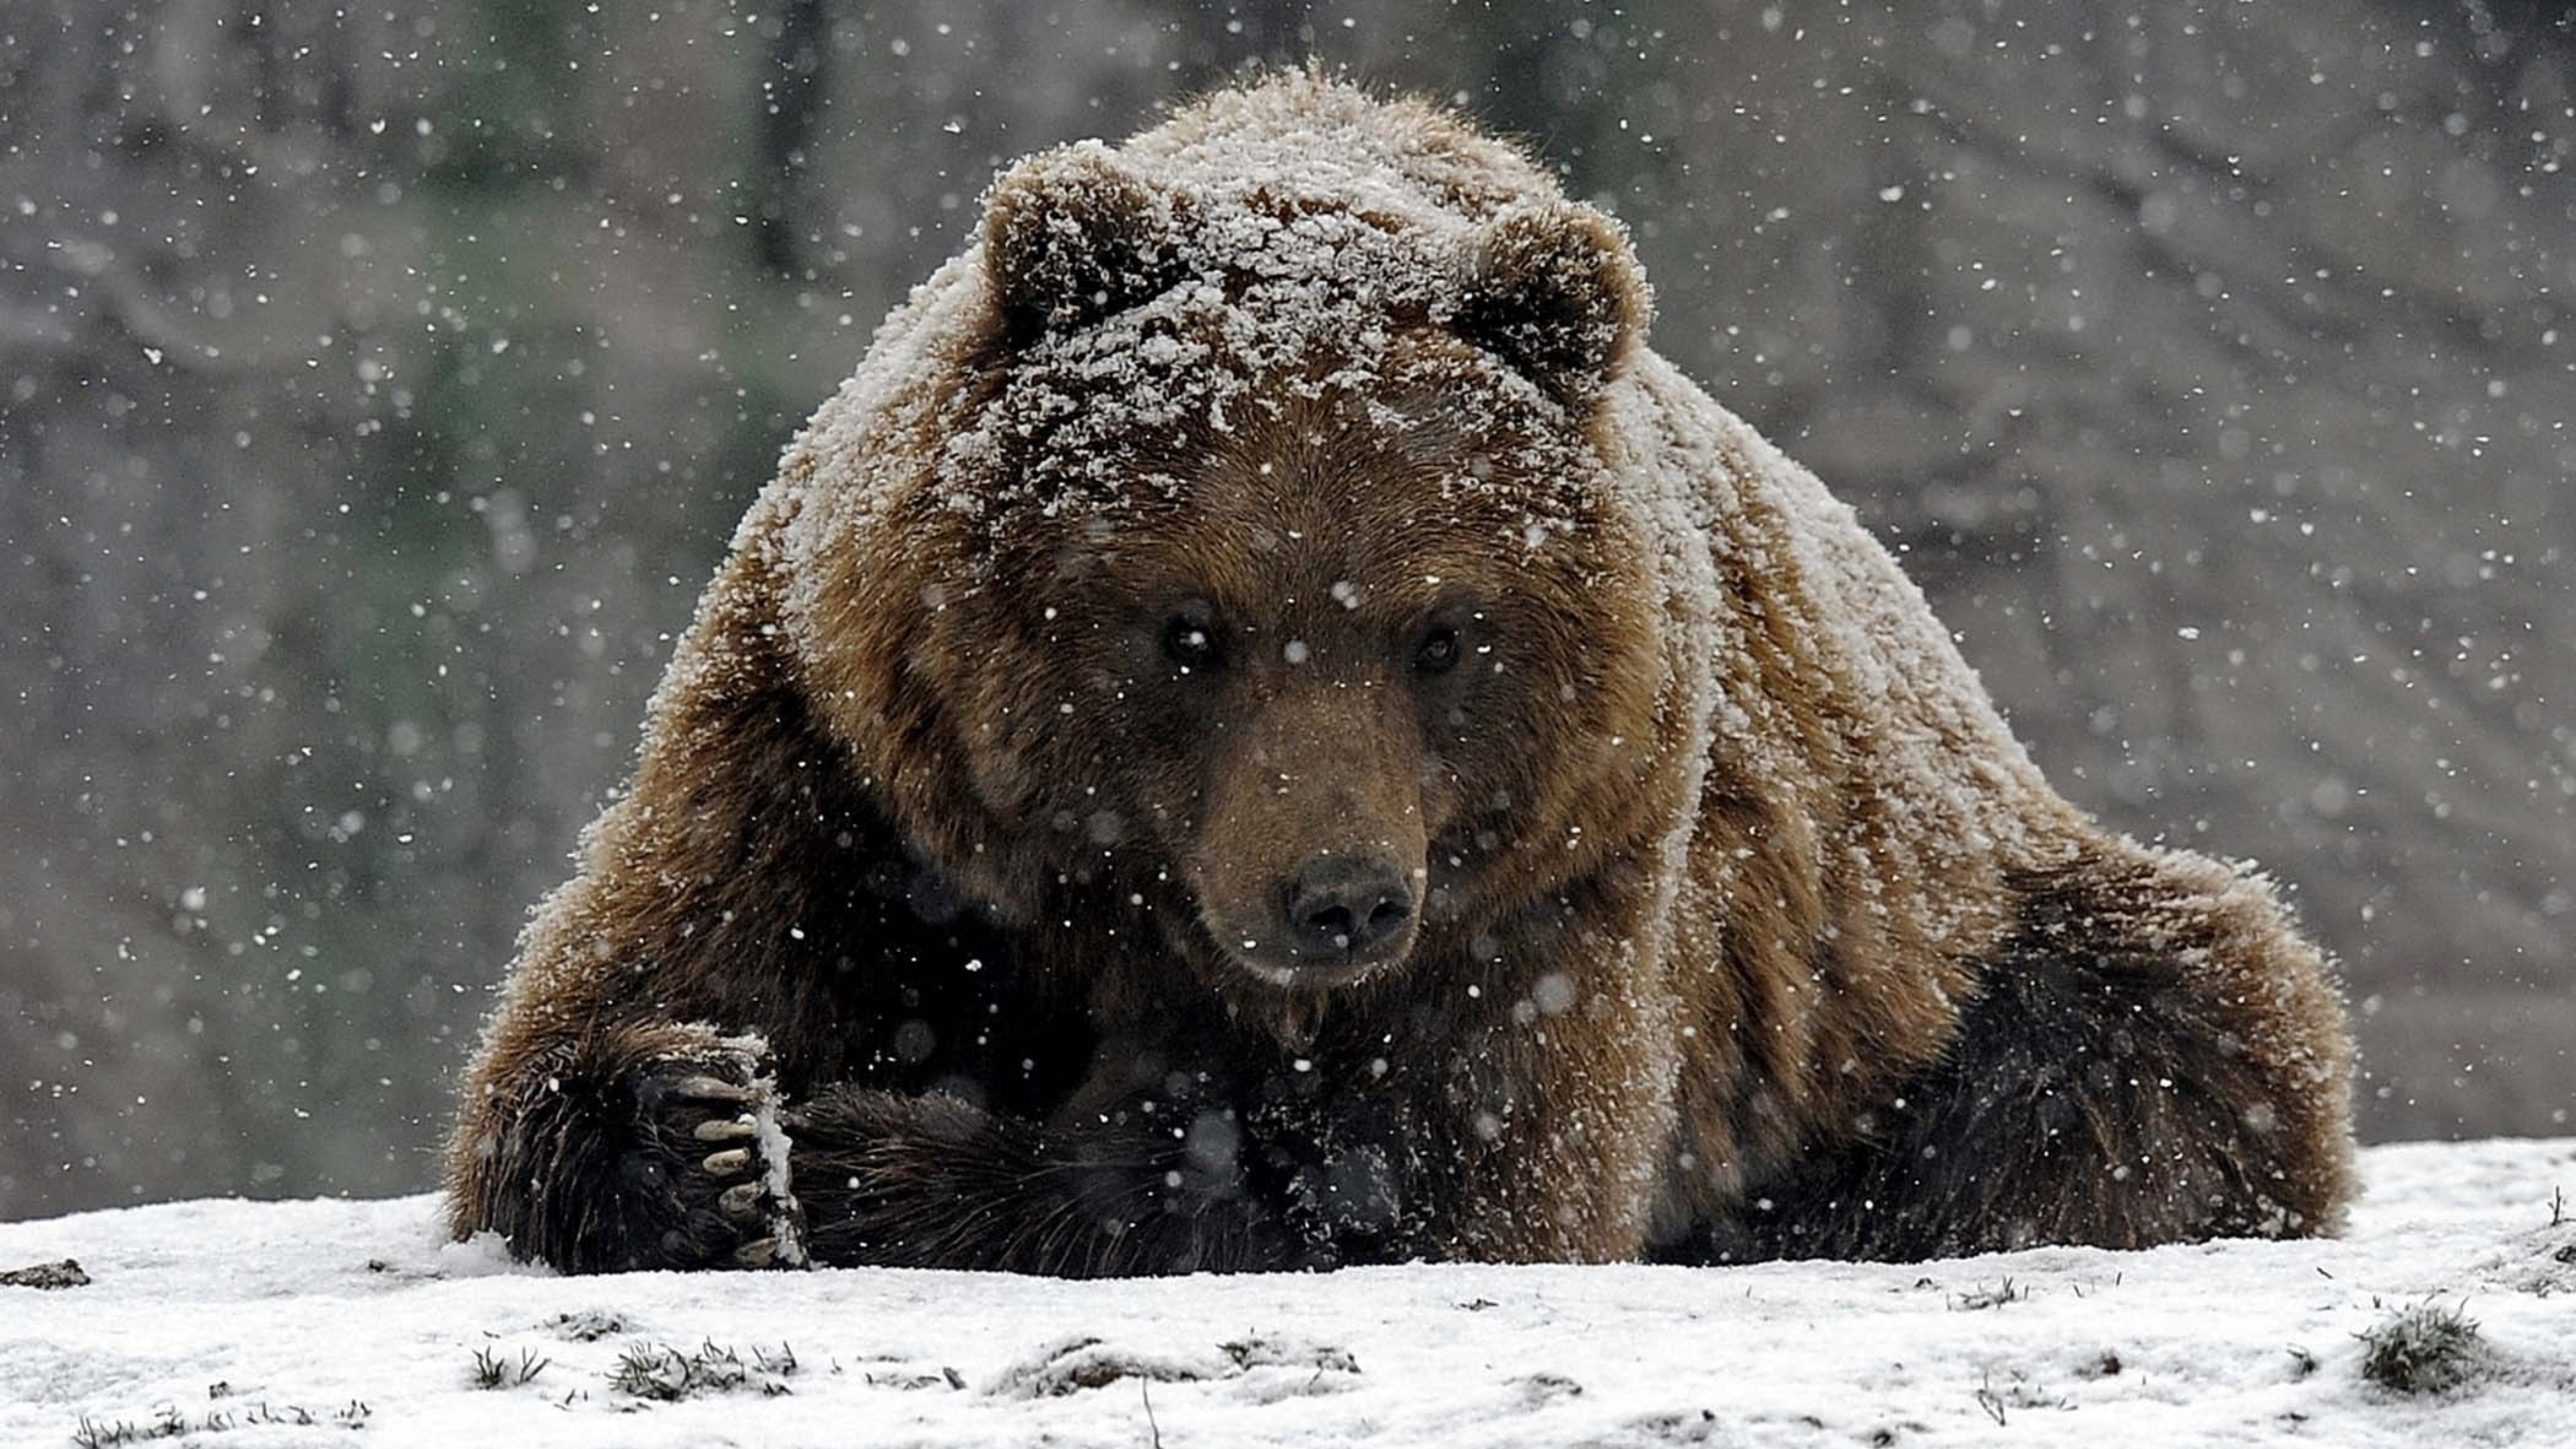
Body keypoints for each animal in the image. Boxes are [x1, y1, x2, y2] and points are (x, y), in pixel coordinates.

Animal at [438, 73, 2359, 1268]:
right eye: (1187, 628)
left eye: (1444, 631)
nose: (1341, 896)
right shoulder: (835, 753)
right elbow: (602, 1007)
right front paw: (709, 1127)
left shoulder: (1577, 858)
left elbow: (1438, 1170)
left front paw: (878, 1163)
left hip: (1942, 954)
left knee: (2172, 1022)